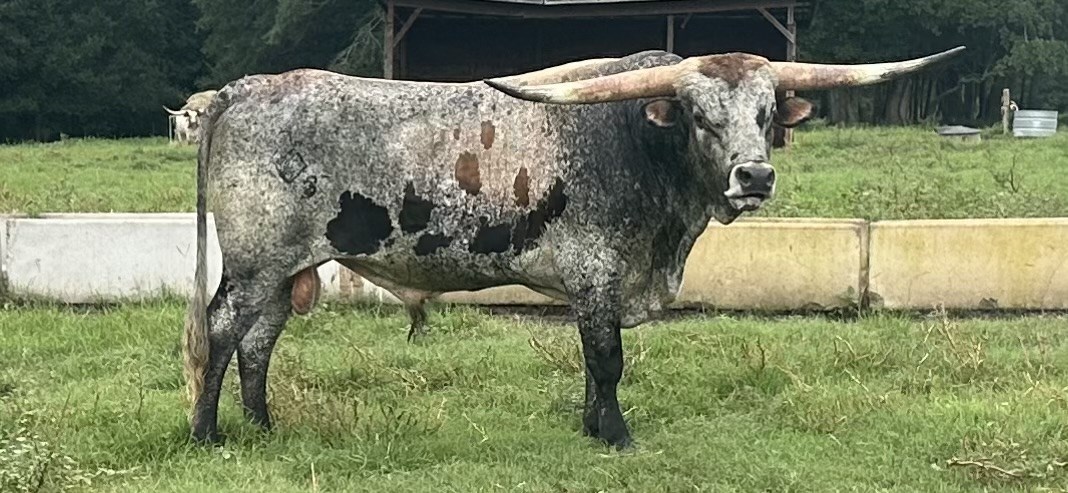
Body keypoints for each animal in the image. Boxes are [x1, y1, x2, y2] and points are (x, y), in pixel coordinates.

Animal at [182, 47, 964, 449]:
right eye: (700, 115)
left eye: (769, 112)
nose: (755, 176)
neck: (635, 141)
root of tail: (242, 89)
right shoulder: (596, 273)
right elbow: (608, 358)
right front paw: (615, 435)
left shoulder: (602, 286)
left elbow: (594, 362)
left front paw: (591, 425)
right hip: (254, 262)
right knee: (221, 332)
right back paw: (208, 433)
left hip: (286, 269)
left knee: (259, 341)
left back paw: (263, 425)